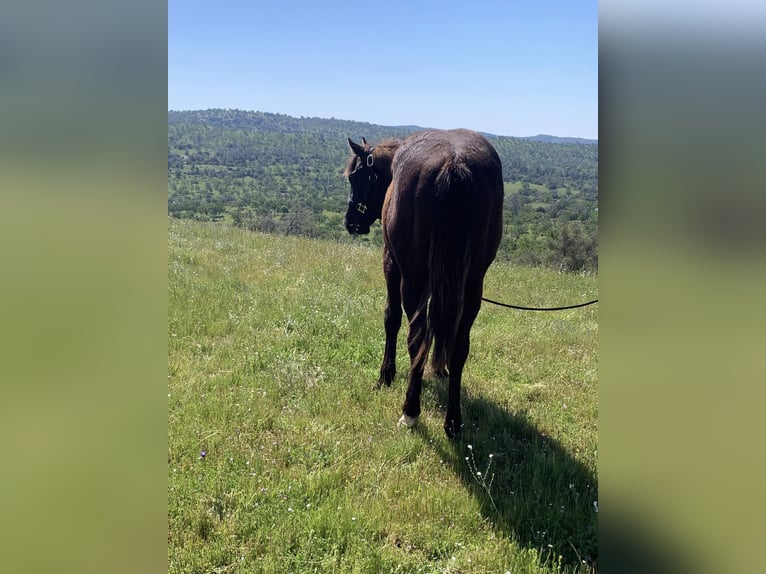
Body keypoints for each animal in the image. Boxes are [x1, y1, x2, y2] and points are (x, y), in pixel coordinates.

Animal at [344, 129, 508, 436]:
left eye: (355, 176)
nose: (350, 222)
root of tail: (454, 164)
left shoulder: (392, 263)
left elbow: (392, 318)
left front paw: (385, 375)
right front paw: (438, 369)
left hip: (413, 279)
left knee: (416, 335)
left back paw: (410, 411)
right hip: (472, 286)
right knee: (458, 344)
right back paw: (453, 421)